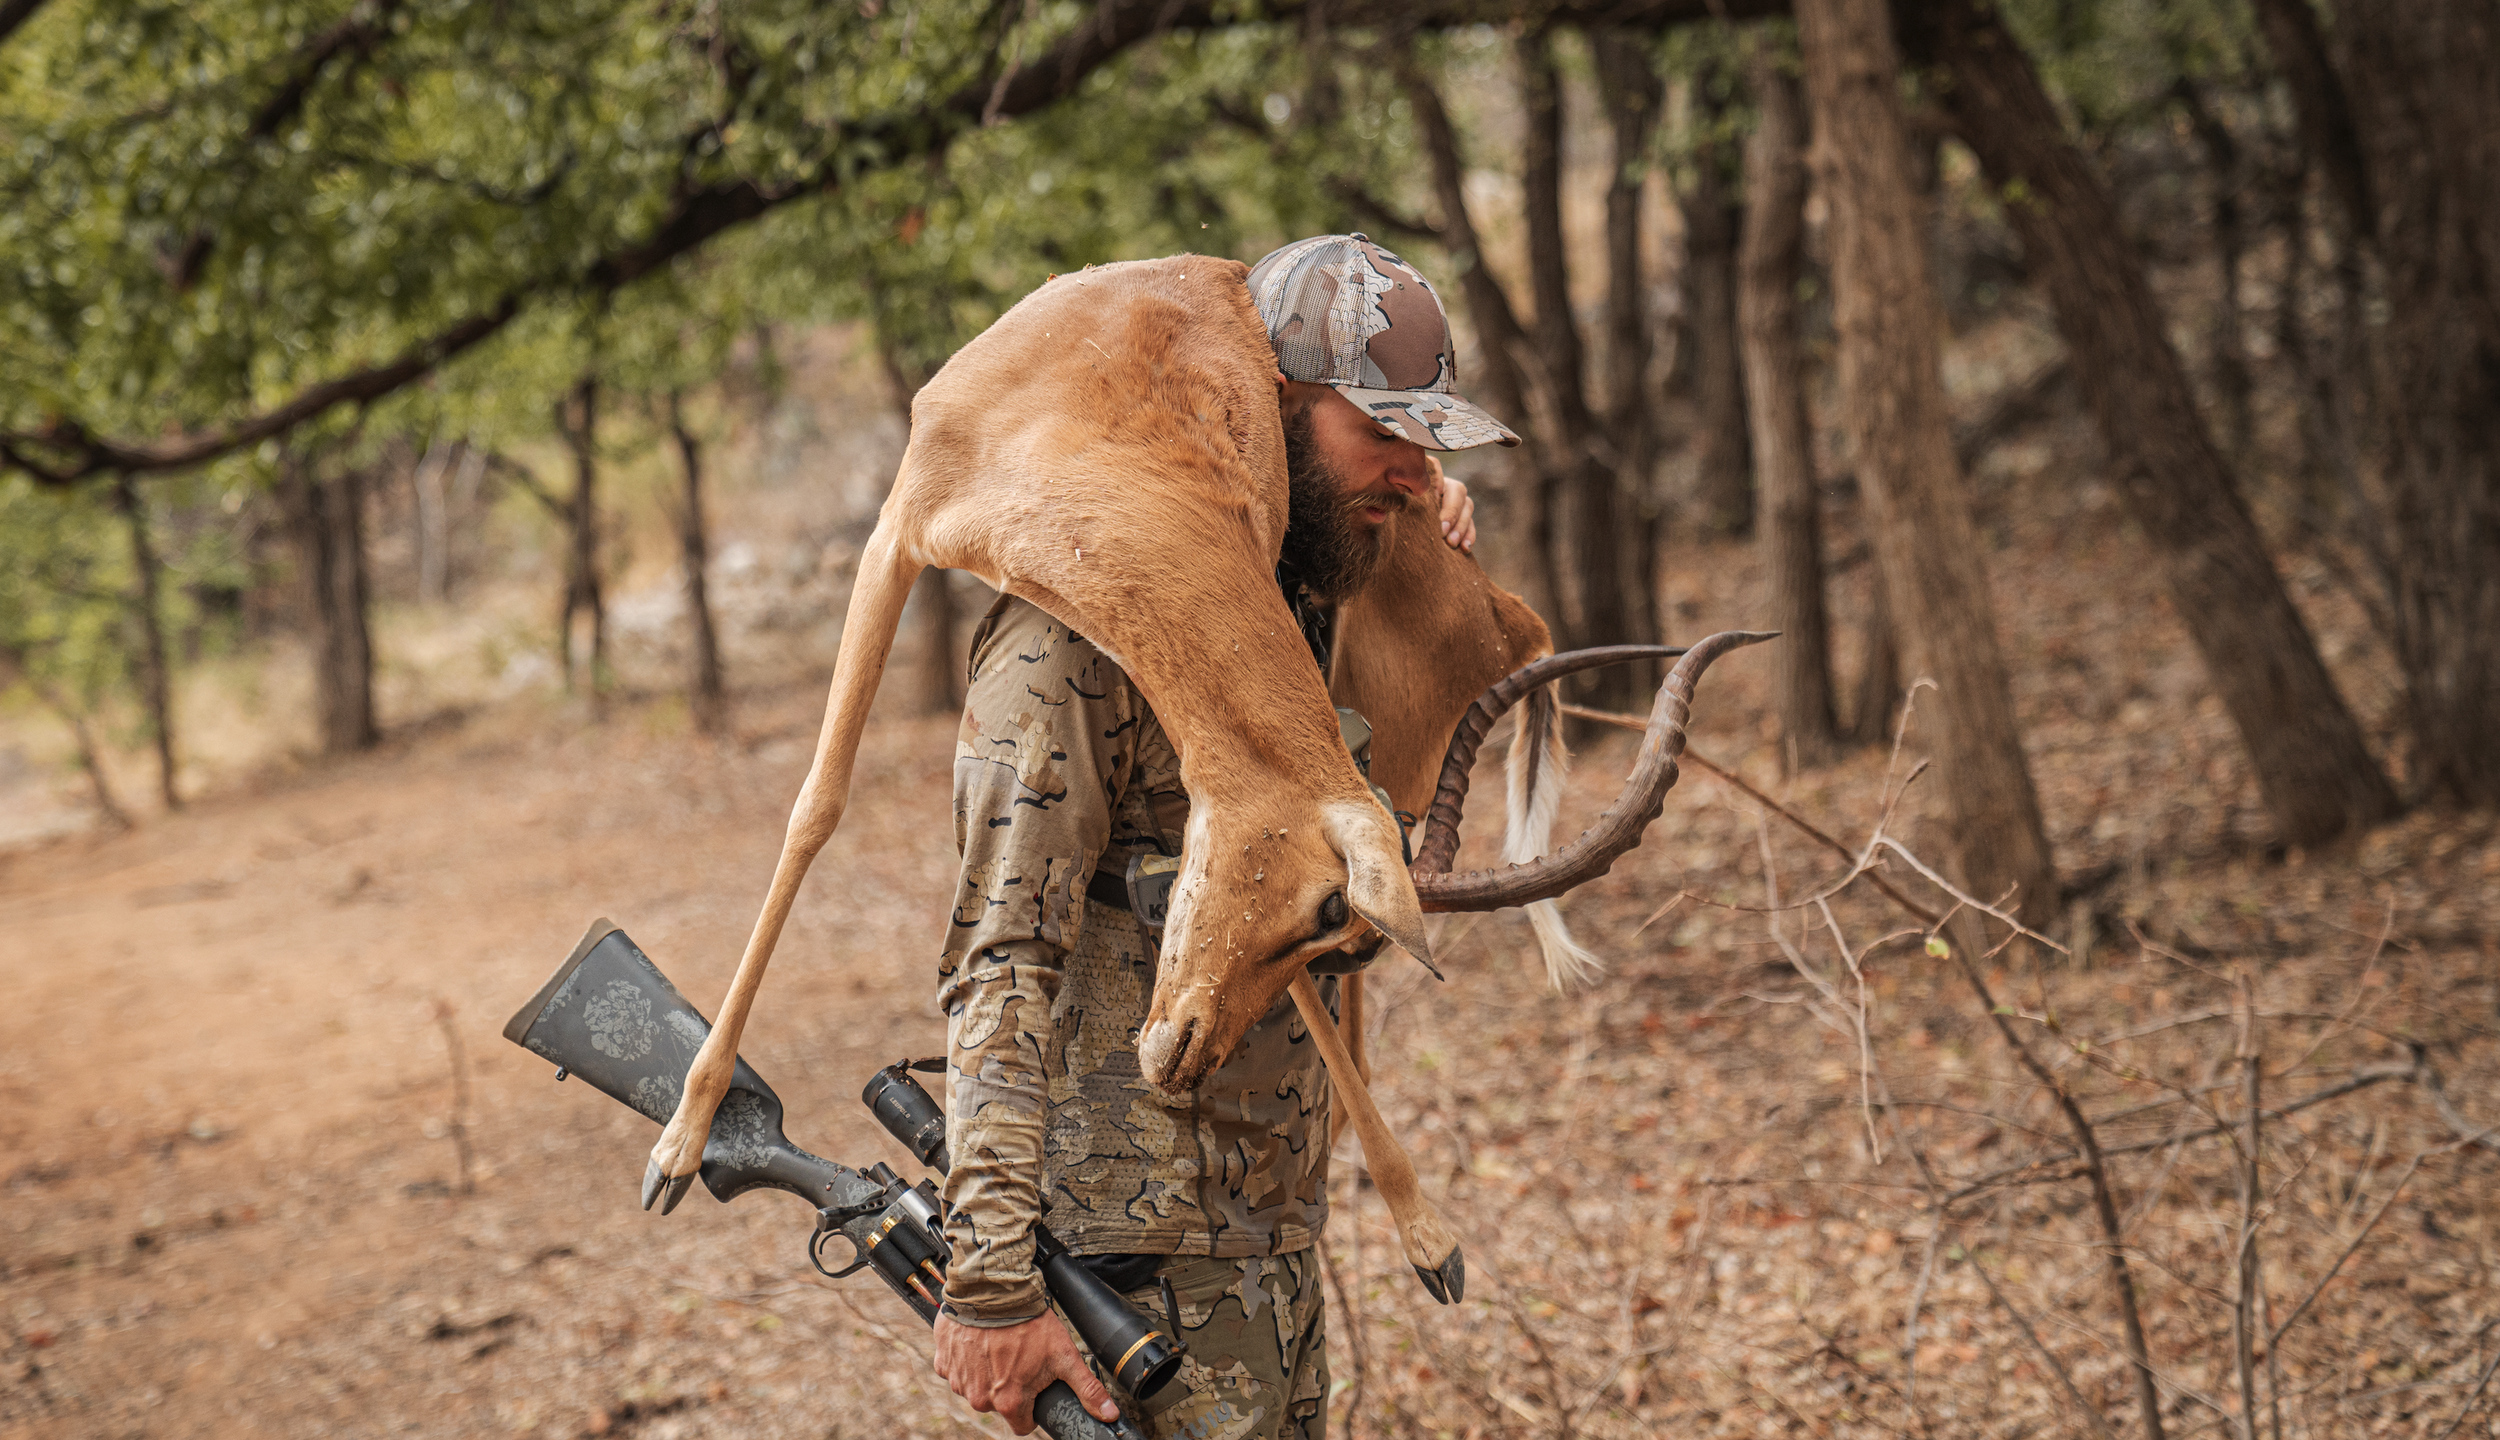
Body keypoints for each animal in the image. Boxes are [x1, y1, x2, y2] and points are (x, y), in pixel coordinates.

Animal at [640, 254, 1765, 1307]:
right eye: (1328, 914)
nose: (1177, 1057)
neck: (1089, 435)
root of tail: (1503, 608)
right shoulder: (900, 531)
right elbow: (815, 807)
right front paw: (678, 1149)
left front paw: (1431, 1236)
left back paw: (1414, 1231)